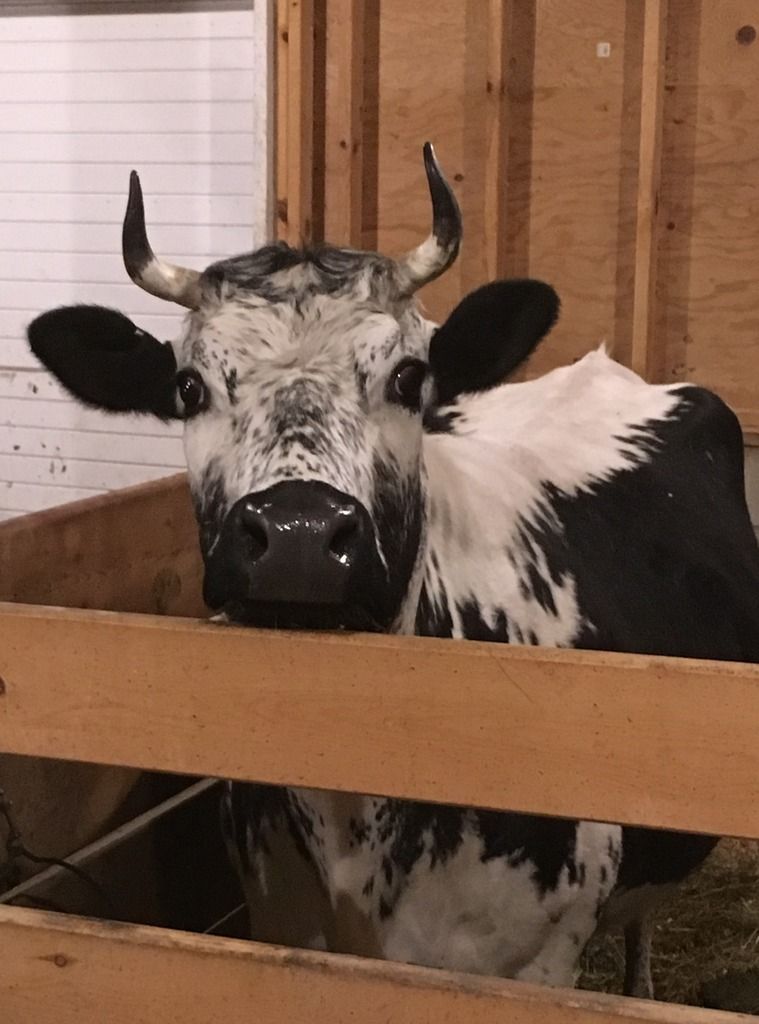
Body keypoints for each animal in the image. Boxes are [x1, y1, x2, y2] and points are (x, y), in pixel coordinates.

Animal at [27, 144, 759, 997]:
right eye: (188, 385)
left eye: (408, 377)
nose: (299, 532)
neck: (351, 824)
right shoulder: (281, 927)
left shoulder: (537, 966)